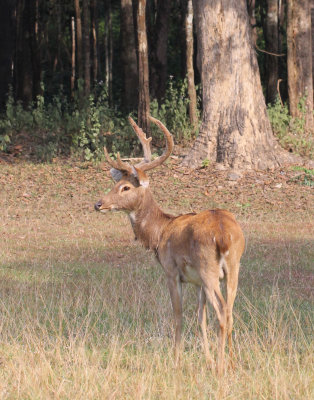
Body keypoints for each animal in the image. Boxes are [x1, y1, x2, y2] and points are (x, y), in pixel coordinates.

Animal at [94, 115, 245, 376]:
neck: (159, 234)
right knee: (230, 311)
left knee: (222, 312)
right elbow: (200, 317)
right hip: (233, 267)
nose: (98, 203)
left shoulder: (171, 271)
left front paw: (176, 361)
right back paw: (232, 362)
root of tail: (223, 234)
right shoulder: (196, 282)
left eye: (126, 187)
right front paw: (207, 360)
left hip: (208, 268)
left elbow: (178, 315)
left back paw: (221, 367)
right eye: (116, 183)